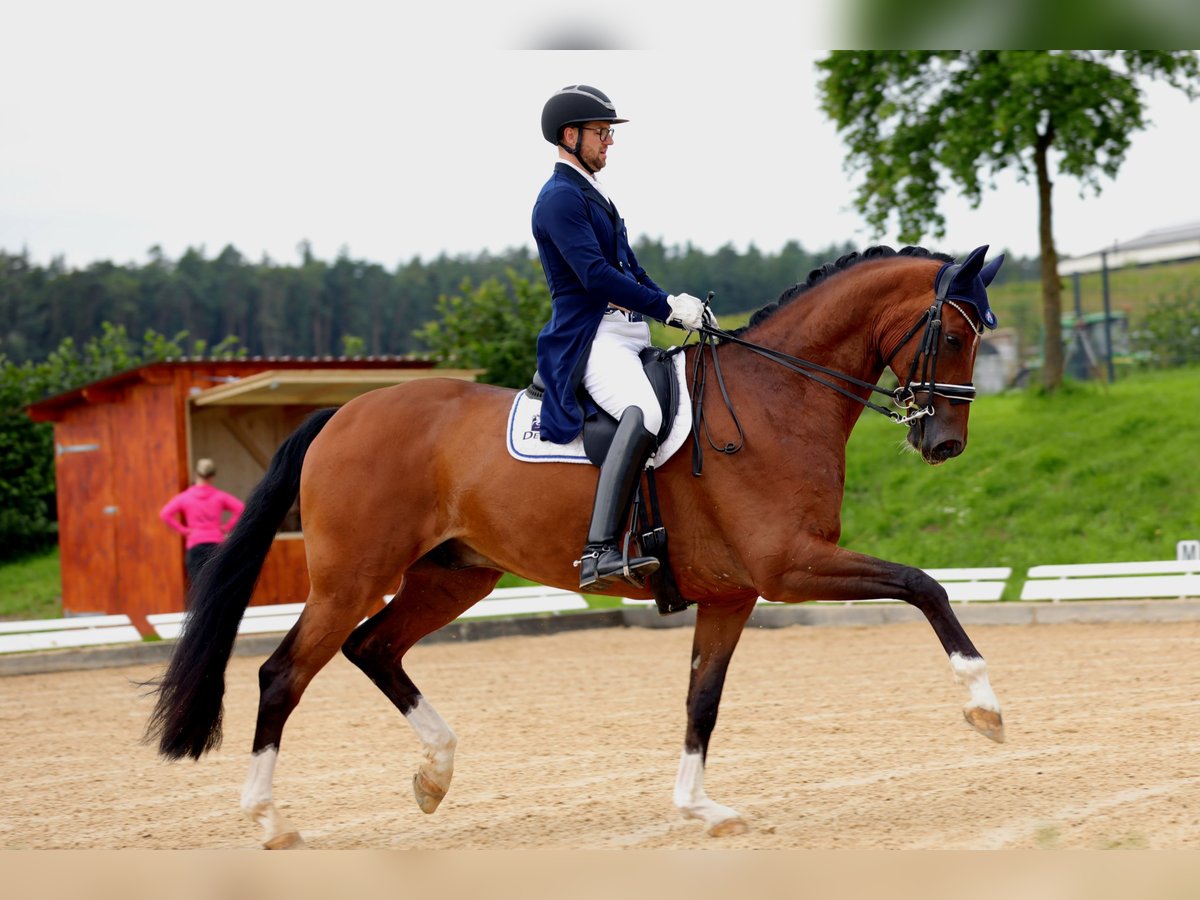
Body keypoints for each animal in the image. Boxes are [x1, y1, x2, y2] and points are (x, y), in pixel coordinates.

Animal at [152, 243, 1012, 849]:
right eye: (955, 333)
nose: (945, 443)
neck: (777, 399)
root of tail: (342, 414)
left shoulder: (734, 594)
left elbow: (702, 700)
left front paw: (700, 808)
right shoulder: (790, 567)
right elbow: (924, 584)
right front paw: (985, 707)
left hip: (453, 577)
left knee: (374, 649)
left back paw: (436, 773)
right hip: (351, 577)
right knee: (283, 674)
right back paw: (270, 821)